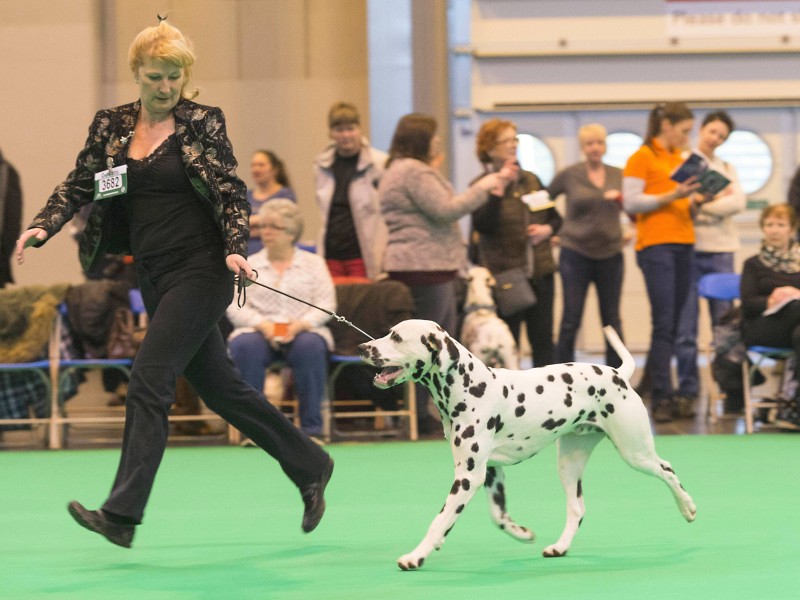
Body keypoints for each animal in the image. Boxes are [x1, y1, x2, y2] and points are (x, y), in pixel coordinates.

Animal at [360, 322, 696, 568]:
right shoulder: (489, 473)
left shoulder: (469, 477)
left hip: (636, 453)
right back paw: (559, 547)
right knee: (577, 509)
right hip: (569, 463)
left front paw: (416, 555)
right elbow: (497, 517)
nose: (363, 347)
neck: (469, 386)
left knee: (668, 470)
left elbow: (439, 519)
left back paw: (688, 507)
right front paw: (521, 533)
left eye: (397, 337)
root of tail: (617, 374)